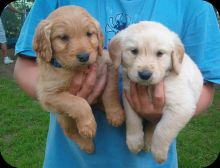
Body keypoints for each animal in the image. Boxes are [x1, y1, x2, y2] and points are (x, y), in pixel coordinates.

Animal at [33, 5, 124, 154]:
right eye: (63, 37)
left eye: (89, 34)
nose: (84, 56)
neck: (78, 69)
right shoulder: (48, 95)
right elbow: (78, 102)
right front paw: (88, 125)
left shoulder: (108, 64)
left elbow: (111, 92)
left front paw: (116, 114)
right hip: (64, 116)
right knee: (69, 131)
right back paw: (86, 144)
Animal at [108, 20, 203, 163]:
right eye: (134, 51)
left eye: (160, 53)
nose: (145, 75)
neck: (148, 87)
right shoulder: (128, 95)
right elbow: (132, 120)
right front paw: (134, 142)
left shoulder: (181, 107)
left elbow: (163, 129)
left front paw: (159, 153)